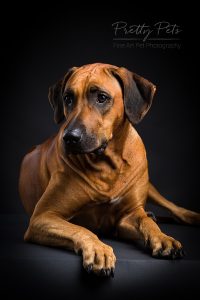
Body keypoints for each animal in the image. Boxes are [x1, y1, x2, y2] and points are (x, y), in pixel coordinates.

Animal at [19, 62, 200, 276]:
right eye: (68, 98)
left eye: (102, 97)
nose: (70, 138)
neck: (107, 164)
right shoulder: (43, 217)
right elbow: (81, 229)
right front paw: (99, 250)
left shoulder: (127, 215)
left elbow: (145, 222)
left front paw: (163, 238)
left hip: (149, 186)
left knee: (173, 208)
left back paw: (187, 215)